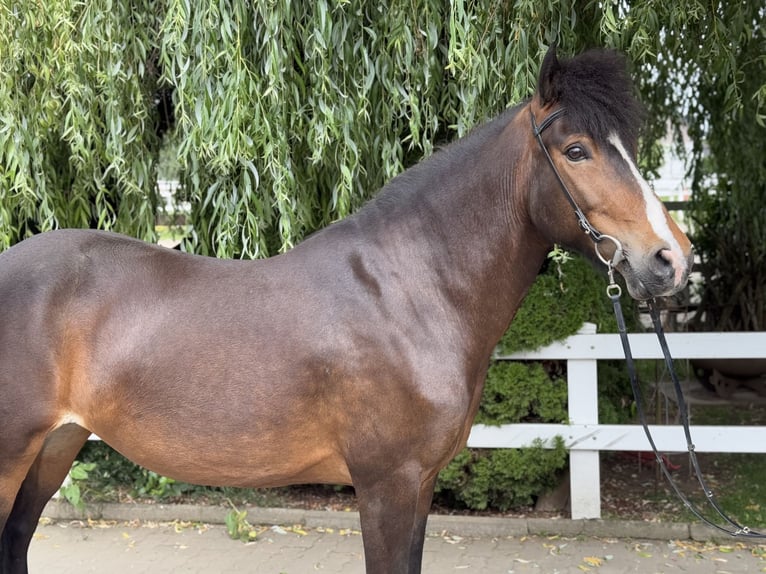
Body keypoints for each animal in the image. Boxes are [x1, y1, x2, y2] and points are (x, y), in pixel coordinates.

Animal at [0, 46, 693, 574]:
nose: (671, 259)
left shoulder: (419, 484)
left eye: (630, 145)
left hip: (55, 449)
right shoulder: (386, 484)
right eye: (576, 150)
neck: (410, 293)